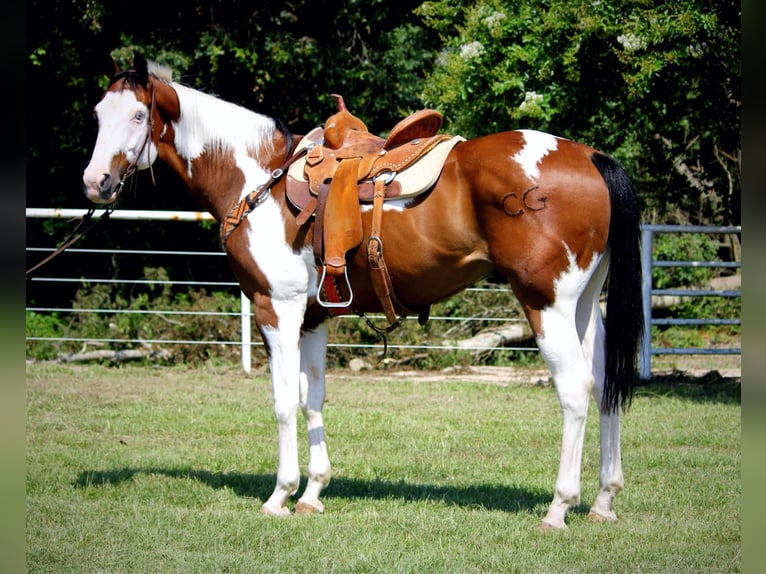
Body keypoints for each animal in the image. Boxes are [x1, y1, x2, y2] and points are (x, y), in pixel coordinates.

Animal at [82, 53, 643, 530]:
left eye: (138, 115)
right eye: (98, 114)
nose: (95, 181)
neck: (259, 179)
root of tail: (591, 157)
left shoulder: (276, 309)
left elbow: (283, 402)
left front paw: (279, 496)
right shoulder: (312, 318)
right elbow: (312, 399)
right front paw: (312, 494)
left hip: (545, 304)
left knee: (575, 390)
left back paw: (559, 507)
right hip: (585, 307)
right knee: (606, 385)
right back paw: (603, 501)